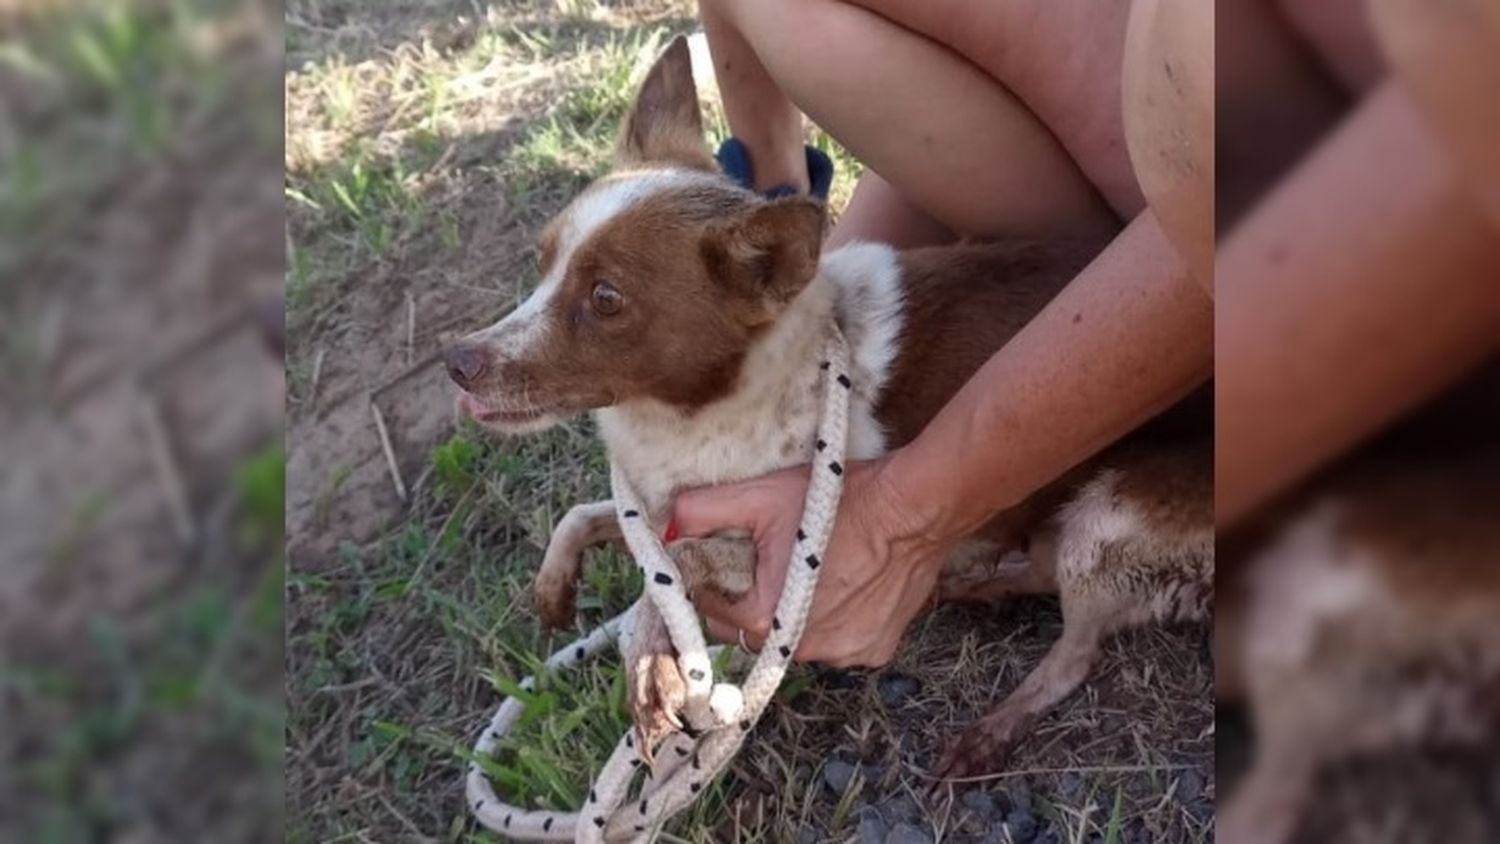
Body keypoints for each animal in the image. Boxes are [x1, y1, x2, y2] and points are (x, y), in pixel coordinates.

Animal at [441, 38, 1206, 779]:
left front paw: (650, 661)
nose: (457, 362)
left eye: (605, 299)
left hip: (1105, 520)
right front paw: (555, 585)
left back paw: (995, 724)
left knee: (1075, 653)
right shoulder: (665, 505)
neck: (694, 412)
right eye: (542, 263)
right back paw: (971, 587)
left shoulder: (769, 555)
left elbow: (672, 572)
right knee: (1037, 570)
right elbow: (589, 518)